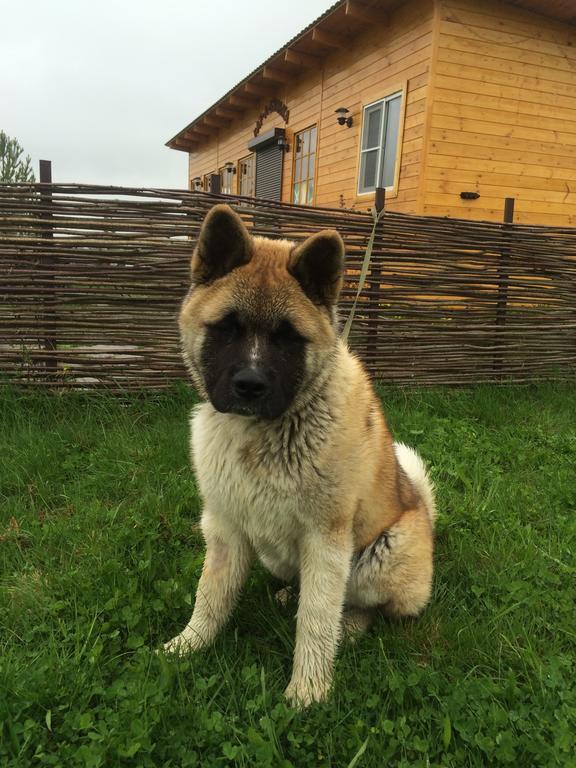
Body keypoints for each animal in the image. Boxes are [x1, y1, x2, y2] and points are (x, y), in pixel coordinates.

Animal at [163, 204, 436, 708]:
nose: (249, 385)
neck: (261, 435)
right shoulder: (226, 529)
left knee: (365, 606)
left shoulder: (325, 540)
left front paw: (308, 691)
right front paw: (188, 646)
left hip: (381, 554)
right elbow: (210, 595)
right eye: (227, 328)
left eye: (287, 337)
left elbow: (317, 618)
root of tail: (424, 512)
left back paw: (351, 628)